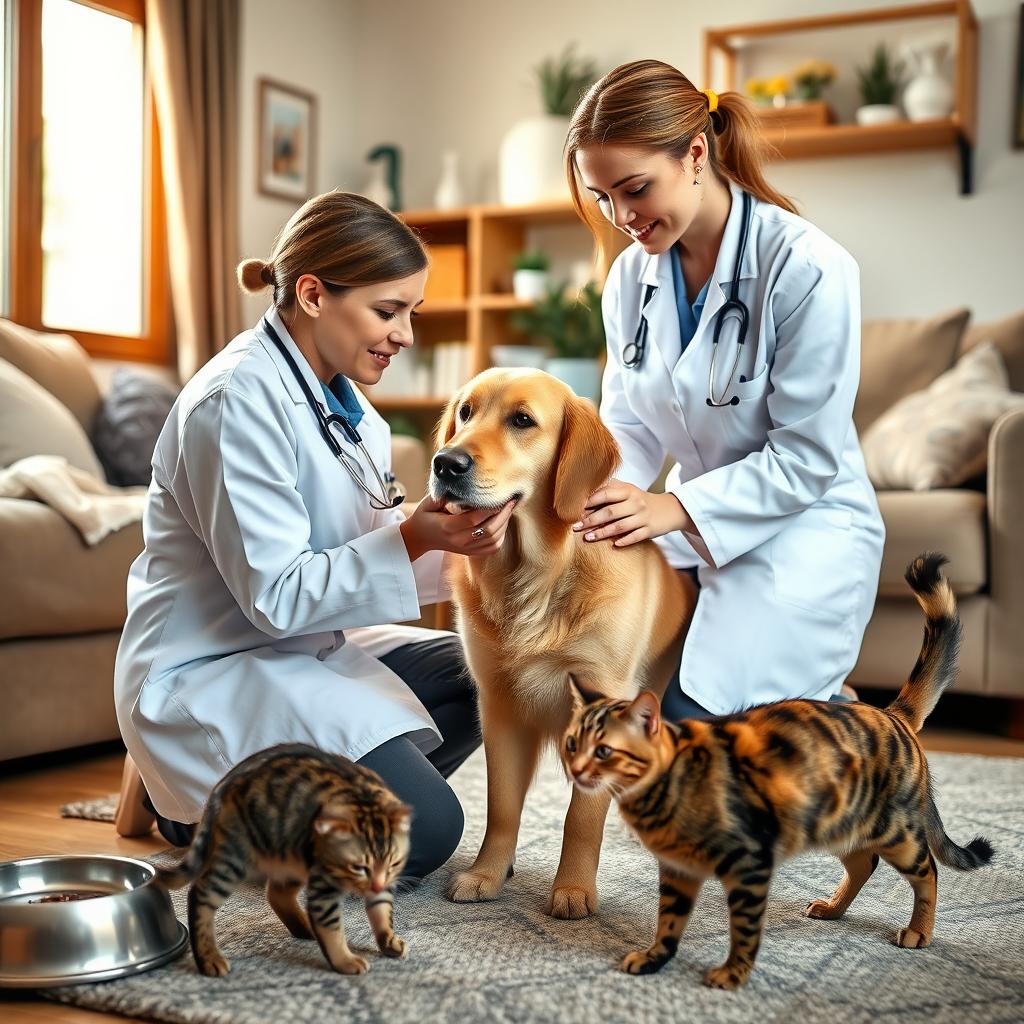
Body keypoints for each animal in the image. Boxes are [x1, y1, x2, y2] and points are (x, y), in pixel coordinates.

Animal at [155, 745, 411, 974]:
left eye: (394, 864)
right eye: (359, 867)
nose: (376, 885)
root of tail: (219, 788)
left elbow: (382, 911)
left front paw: (388, 940)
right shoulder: (323, 885)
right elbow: (331, 927)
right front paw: (344, 961)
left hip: (291, 855)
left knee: (276, 894)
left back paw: (305, 927)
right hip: (235, 855)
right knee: (200, 893)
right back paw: (208, 958)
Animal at [565, 557, 995, 987]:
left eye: (603, 750)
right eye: (571, 743)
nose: (575, 770)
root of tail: (890, 712)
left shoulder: (750, 866)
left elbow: (744, 929)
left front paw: (732, 974)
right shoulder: (677, 870)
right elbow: (668, 922)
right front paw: (654, 958)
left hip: (895, 833)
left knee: (928, 873)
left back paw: (919, 931)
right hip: (838, 821)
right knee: (864, 863)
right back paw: (833, 909)